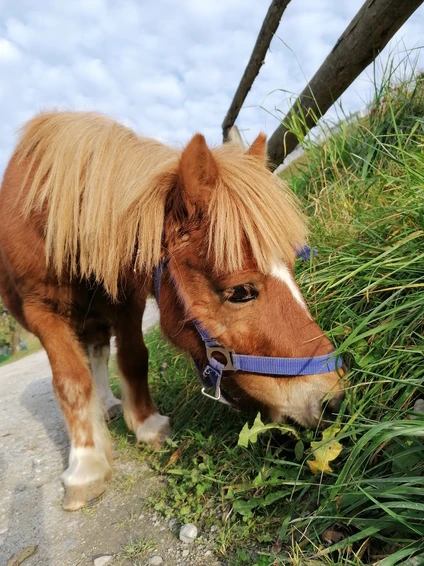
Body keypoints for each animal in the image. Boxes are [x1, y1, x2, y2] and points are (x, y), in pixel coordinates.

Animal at [0, 113, 344, 512]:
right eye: (241, 292)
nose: (334, 398)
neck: (56, 217)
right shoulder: (40, 312)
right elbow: (71, 381)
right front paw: (86, 465)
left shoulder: (126, 298)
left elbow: (133, 359)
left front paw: (146, 424)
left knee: (98, 352)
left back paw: (108, 404)